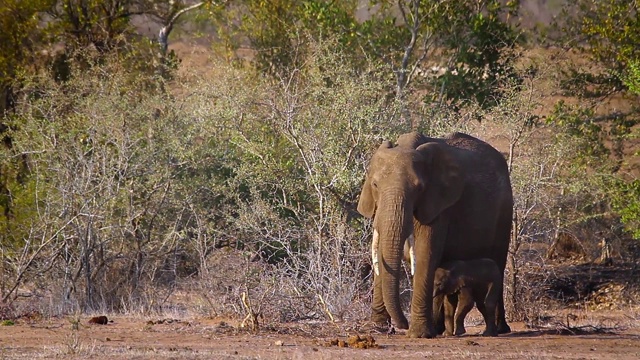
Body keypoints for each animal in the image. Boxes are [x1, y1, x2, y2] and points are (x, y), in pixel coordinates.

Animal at [358, 131, 512, 338]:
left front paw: (418, 334)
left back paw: (500, 330)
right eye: (375, 184)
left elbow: (425, 253)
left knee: (498, 263)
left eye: (419, 188)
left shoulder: (438, 205)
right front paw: (377, 329)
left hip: (505, 212)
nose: (403, 324)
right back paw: (440, 330)